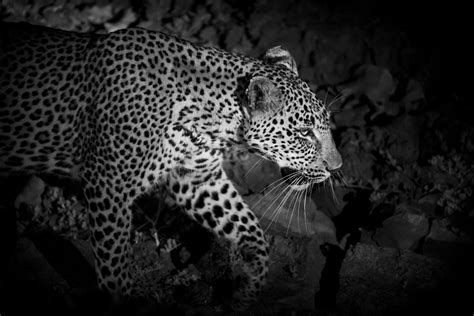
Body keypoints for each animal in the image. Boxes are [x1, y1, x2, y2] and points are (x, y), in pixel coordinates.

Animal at [0, 21, 340, 308]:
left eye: (325, 124)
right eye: (304, 133)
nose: (336, 168)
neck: (213, 119)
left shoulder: (197, 179)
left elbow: (249, 229)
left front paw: (248, 287)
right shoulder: (108, 185)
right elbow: (114, 261)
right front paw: (123, 302)